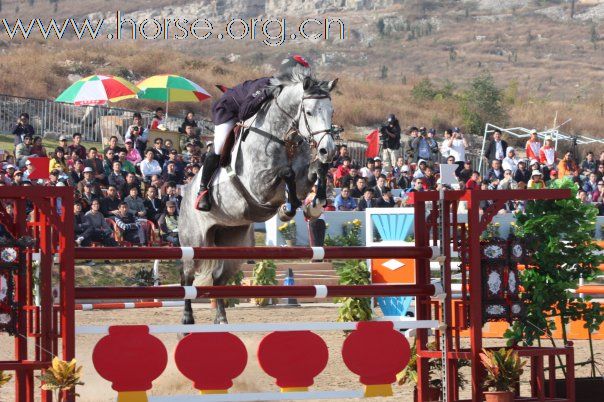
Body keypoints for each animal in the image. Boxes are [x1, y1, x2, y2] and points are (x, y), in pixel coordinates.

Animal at [179, 70, 340, 326]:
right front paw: (288, 208)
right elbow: (287, 173)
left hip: (233, 243)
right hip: (194, 242)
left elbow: (316, 170)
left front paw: (315, 204)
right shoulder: (258, 185)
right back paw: (187, 319)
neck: (281, 136)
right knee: (187, 277)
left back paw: (221, 318)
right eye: (309, 112)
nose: (329, 150)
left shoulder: (303, 177)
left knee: (218, 278)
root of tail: (184, 196)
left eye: (331, 111)